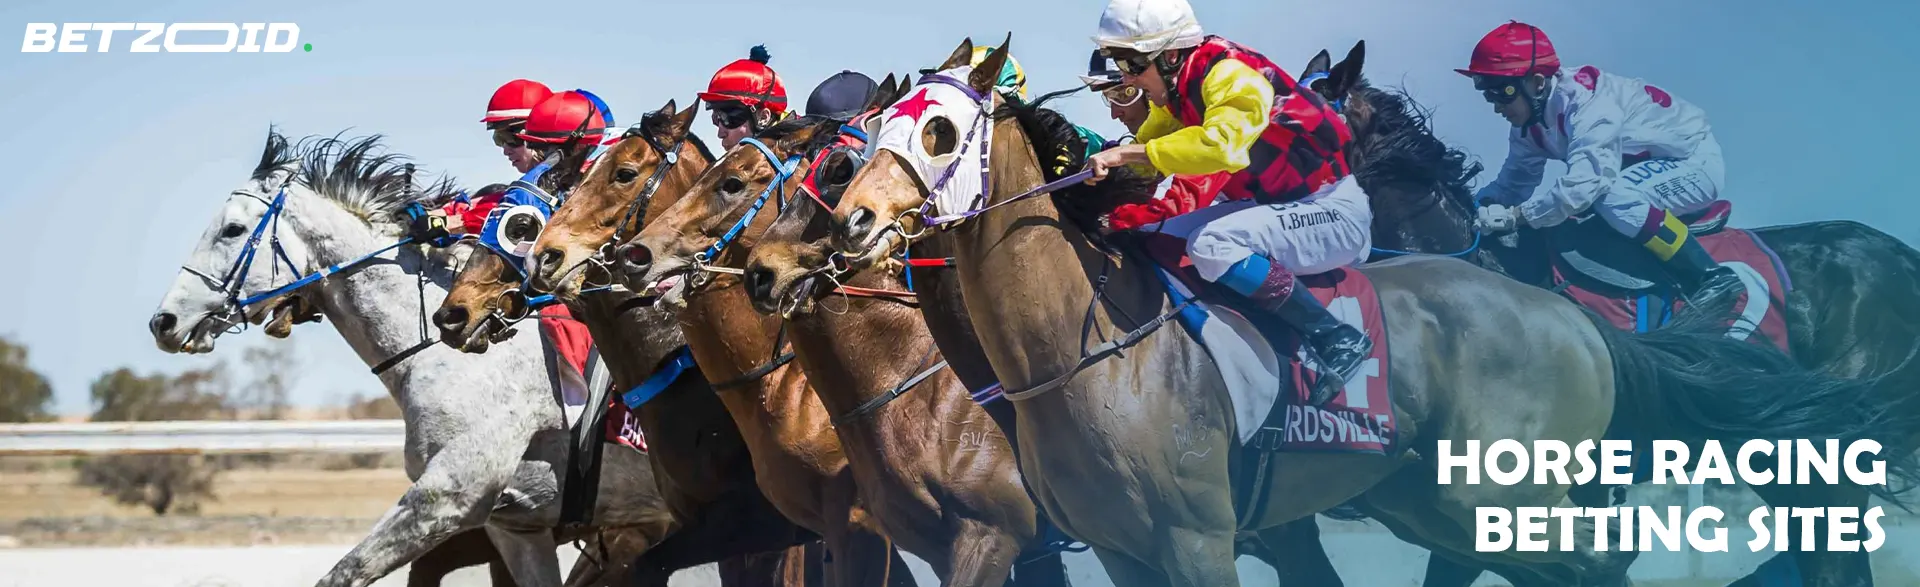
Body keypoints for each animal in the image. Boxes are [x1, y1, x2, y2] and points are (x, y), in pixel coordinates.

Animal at [147, 131, 686, 587]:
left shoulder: (447, 498)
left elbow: (345, 572)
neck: (456, 356)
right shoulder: (516, 529)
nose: (164, 322)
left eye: (232, 229)